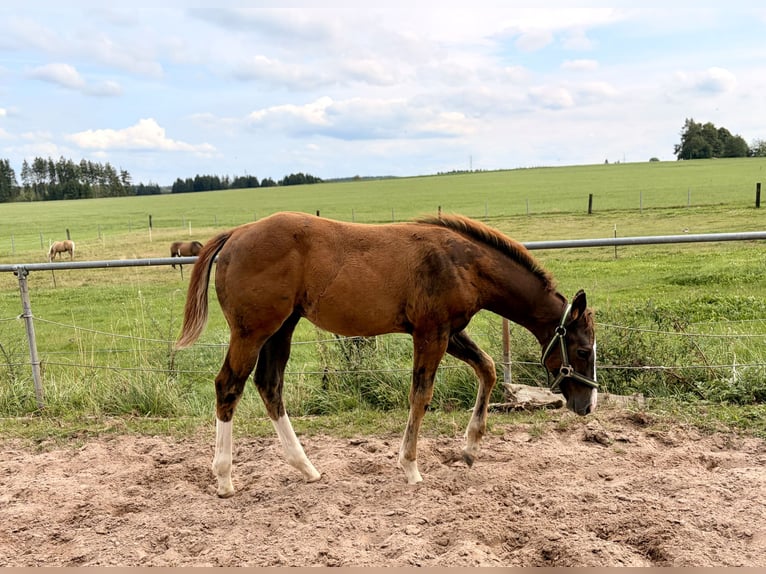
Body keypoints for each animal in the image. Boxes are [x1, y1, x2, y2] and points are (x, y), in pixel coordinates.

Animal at [175, 211, 597, 497]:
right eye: (582, 349)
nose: (587, 405)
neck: (461, 263)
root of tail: (235, 234)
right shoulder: (431, 334)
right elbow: (421, 395)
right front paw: (410, 467)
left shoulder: (450, 332)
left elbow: (489, 368)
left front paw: (470, 448)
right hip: (253, 332)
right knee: (229, 385)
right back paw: (225, 478)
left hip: (282, 329)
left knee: (269, 385)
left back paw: (307, 468)